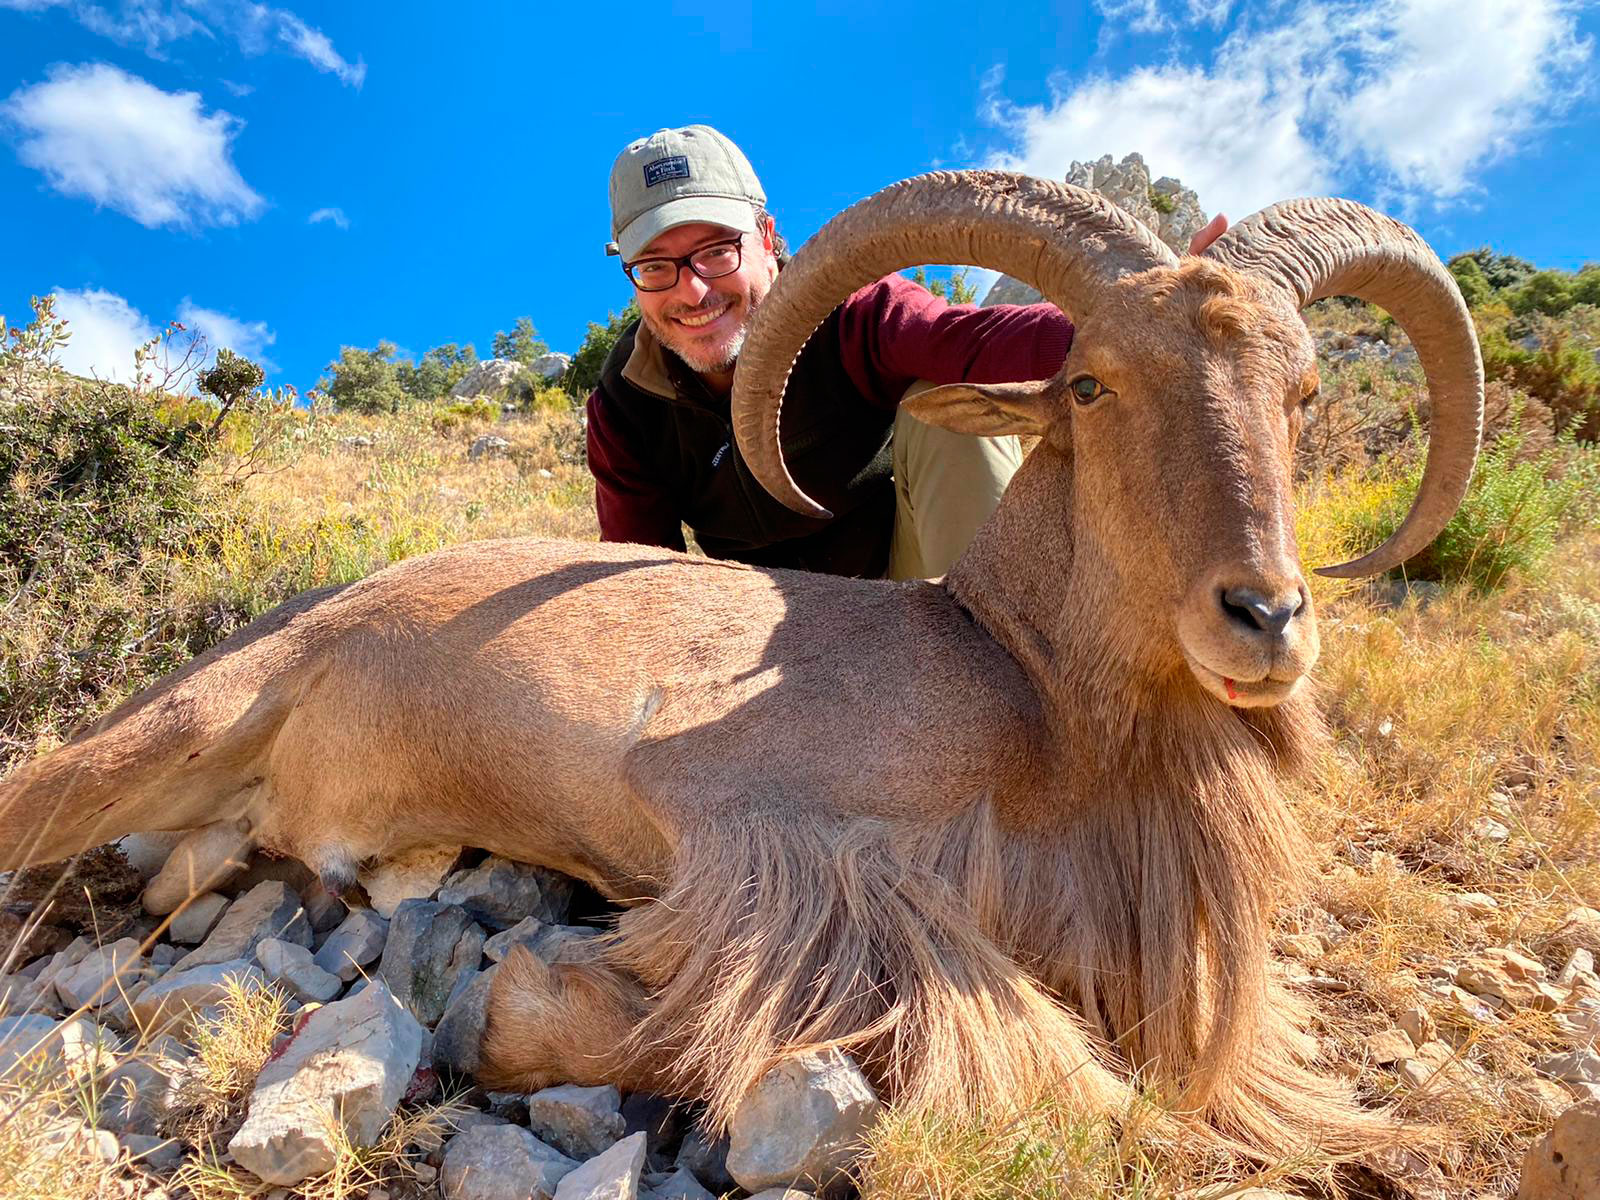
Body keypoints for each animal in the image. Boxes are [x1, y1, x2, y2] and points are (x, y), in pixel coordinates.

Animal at [0, 173, 1484, 1158]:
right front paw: (519, 1003)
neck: (1020, 686)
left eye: (1299, 394)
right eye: (1091, 383)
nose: (1266, 616)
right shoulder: (757, 833)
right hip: (169, 730)